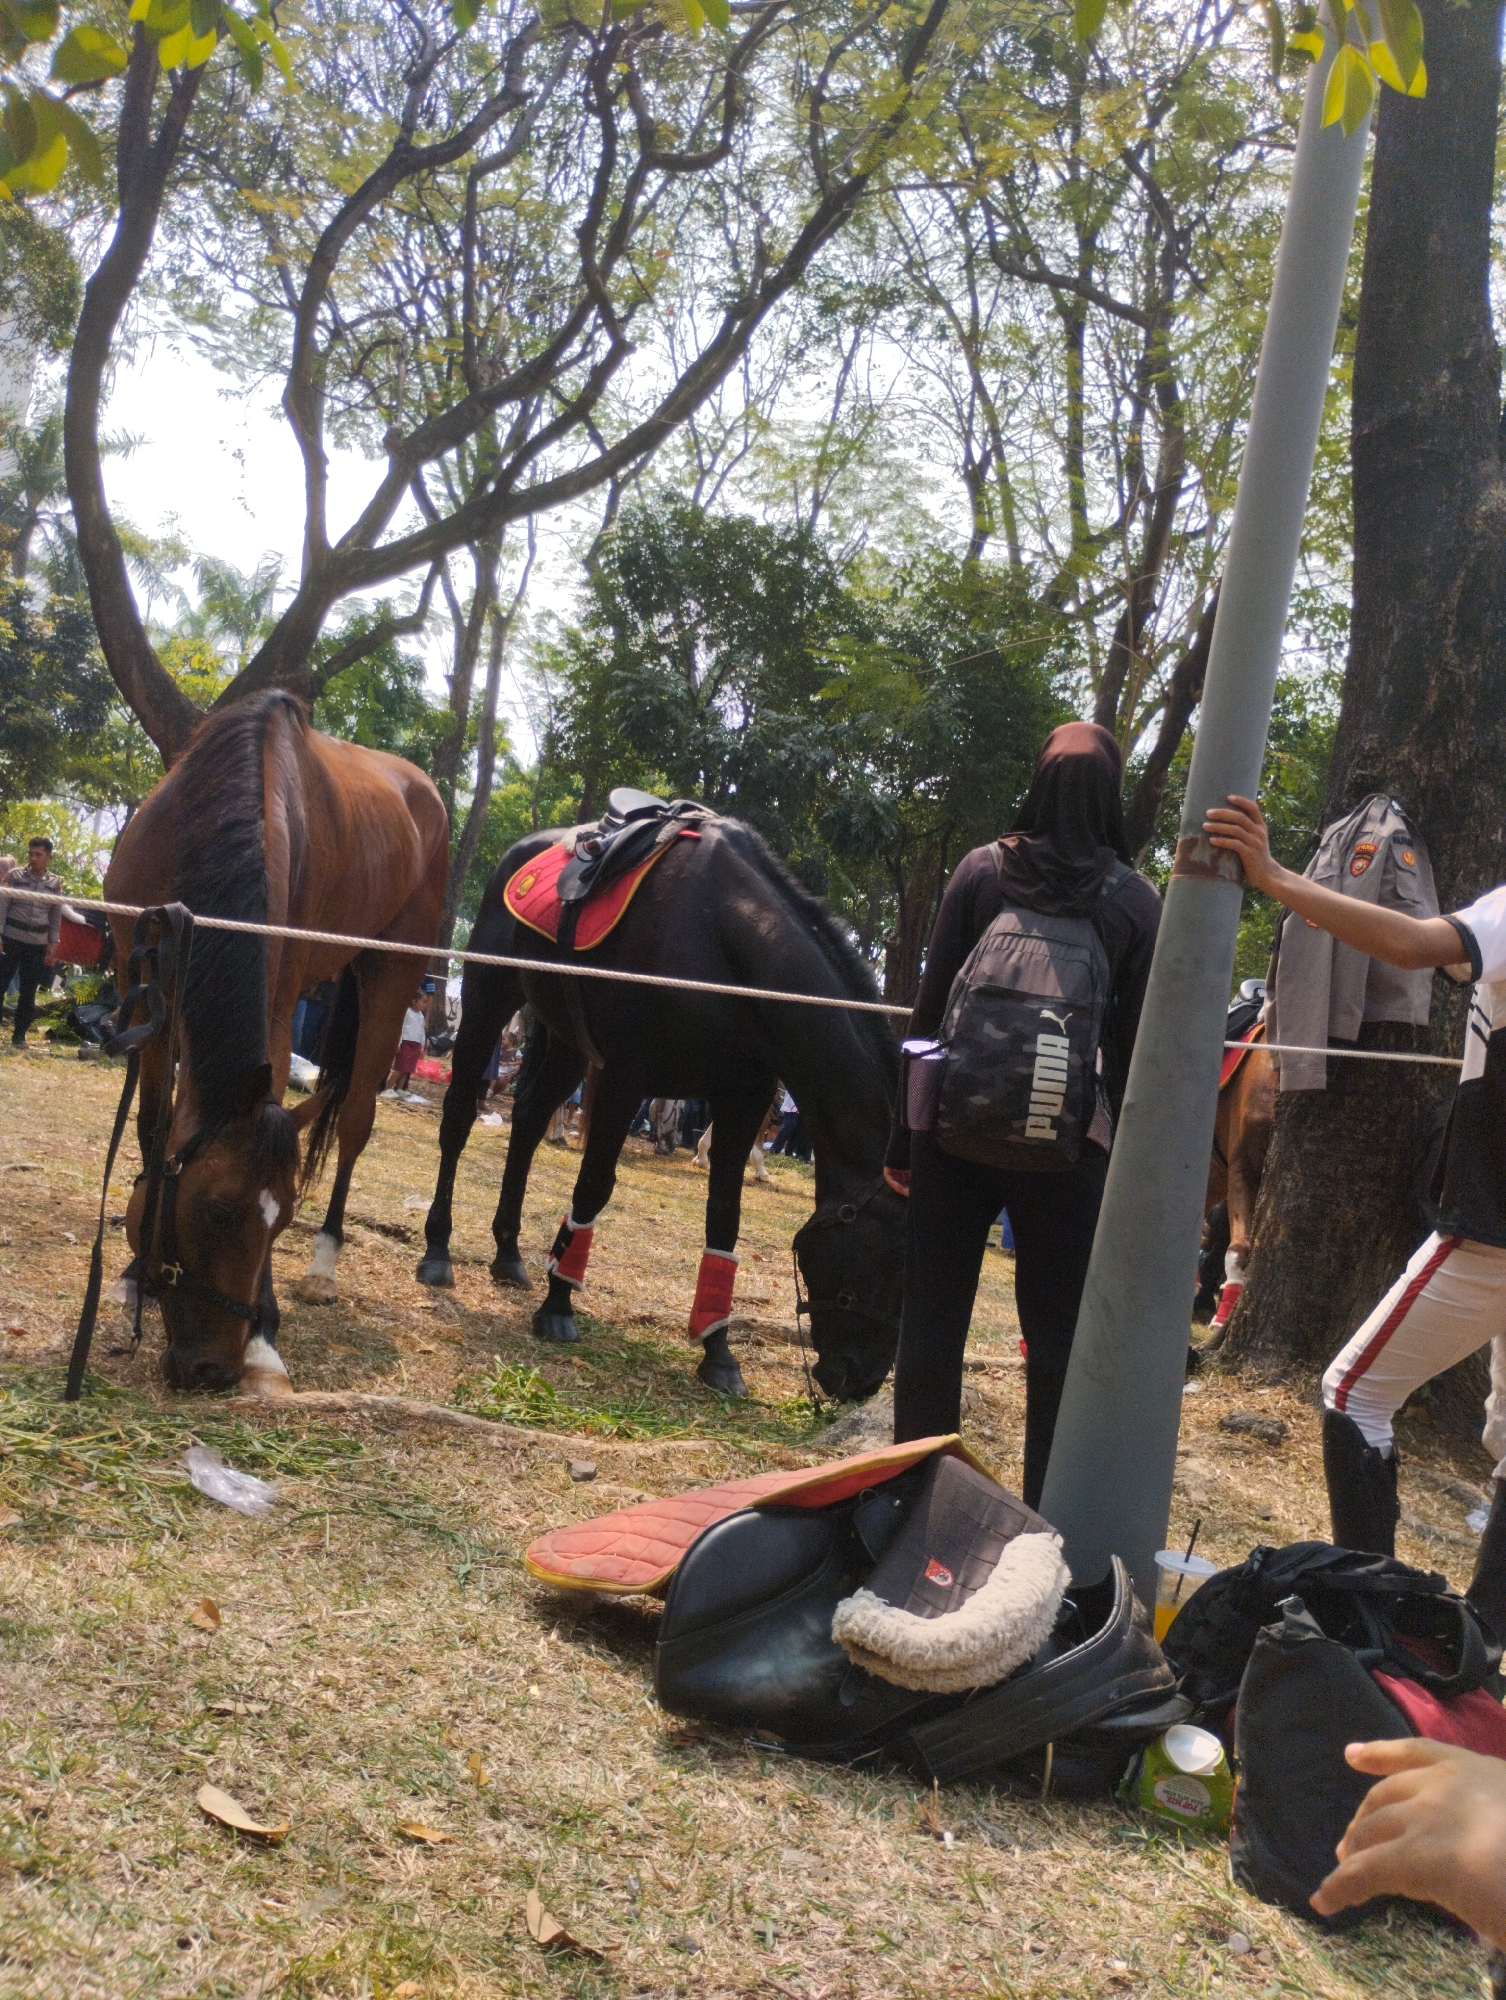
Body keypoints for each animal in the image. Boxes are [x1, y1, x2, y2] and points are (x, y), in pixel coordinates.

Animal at [105, 691, 448, 1396]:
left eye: (283, 1219)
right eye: (213, 1211)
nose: (214, 1370)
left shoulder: (282, 987)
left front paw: (265, 1340)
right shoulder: (141, 971)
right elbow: (153, 1124)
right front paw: (132, 1274)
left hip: (393, 972)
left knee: (355, 1120)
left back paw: (323, 1268)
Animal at [414, 814, 904, 1403]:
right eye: (890, 1264)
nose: (863, 1380)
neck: (724, 941)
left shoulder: (743, 1096)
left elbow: (724, 1218)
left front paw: (718, 1352)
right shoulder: (625, 1076)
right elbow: (593, 1187)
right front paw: (558, 1304)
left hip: (568, 1041)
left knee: (529, 1118)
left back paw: (509, 1253)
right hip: (490, 995)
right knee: (460, 1115)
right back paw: (437, 1249)